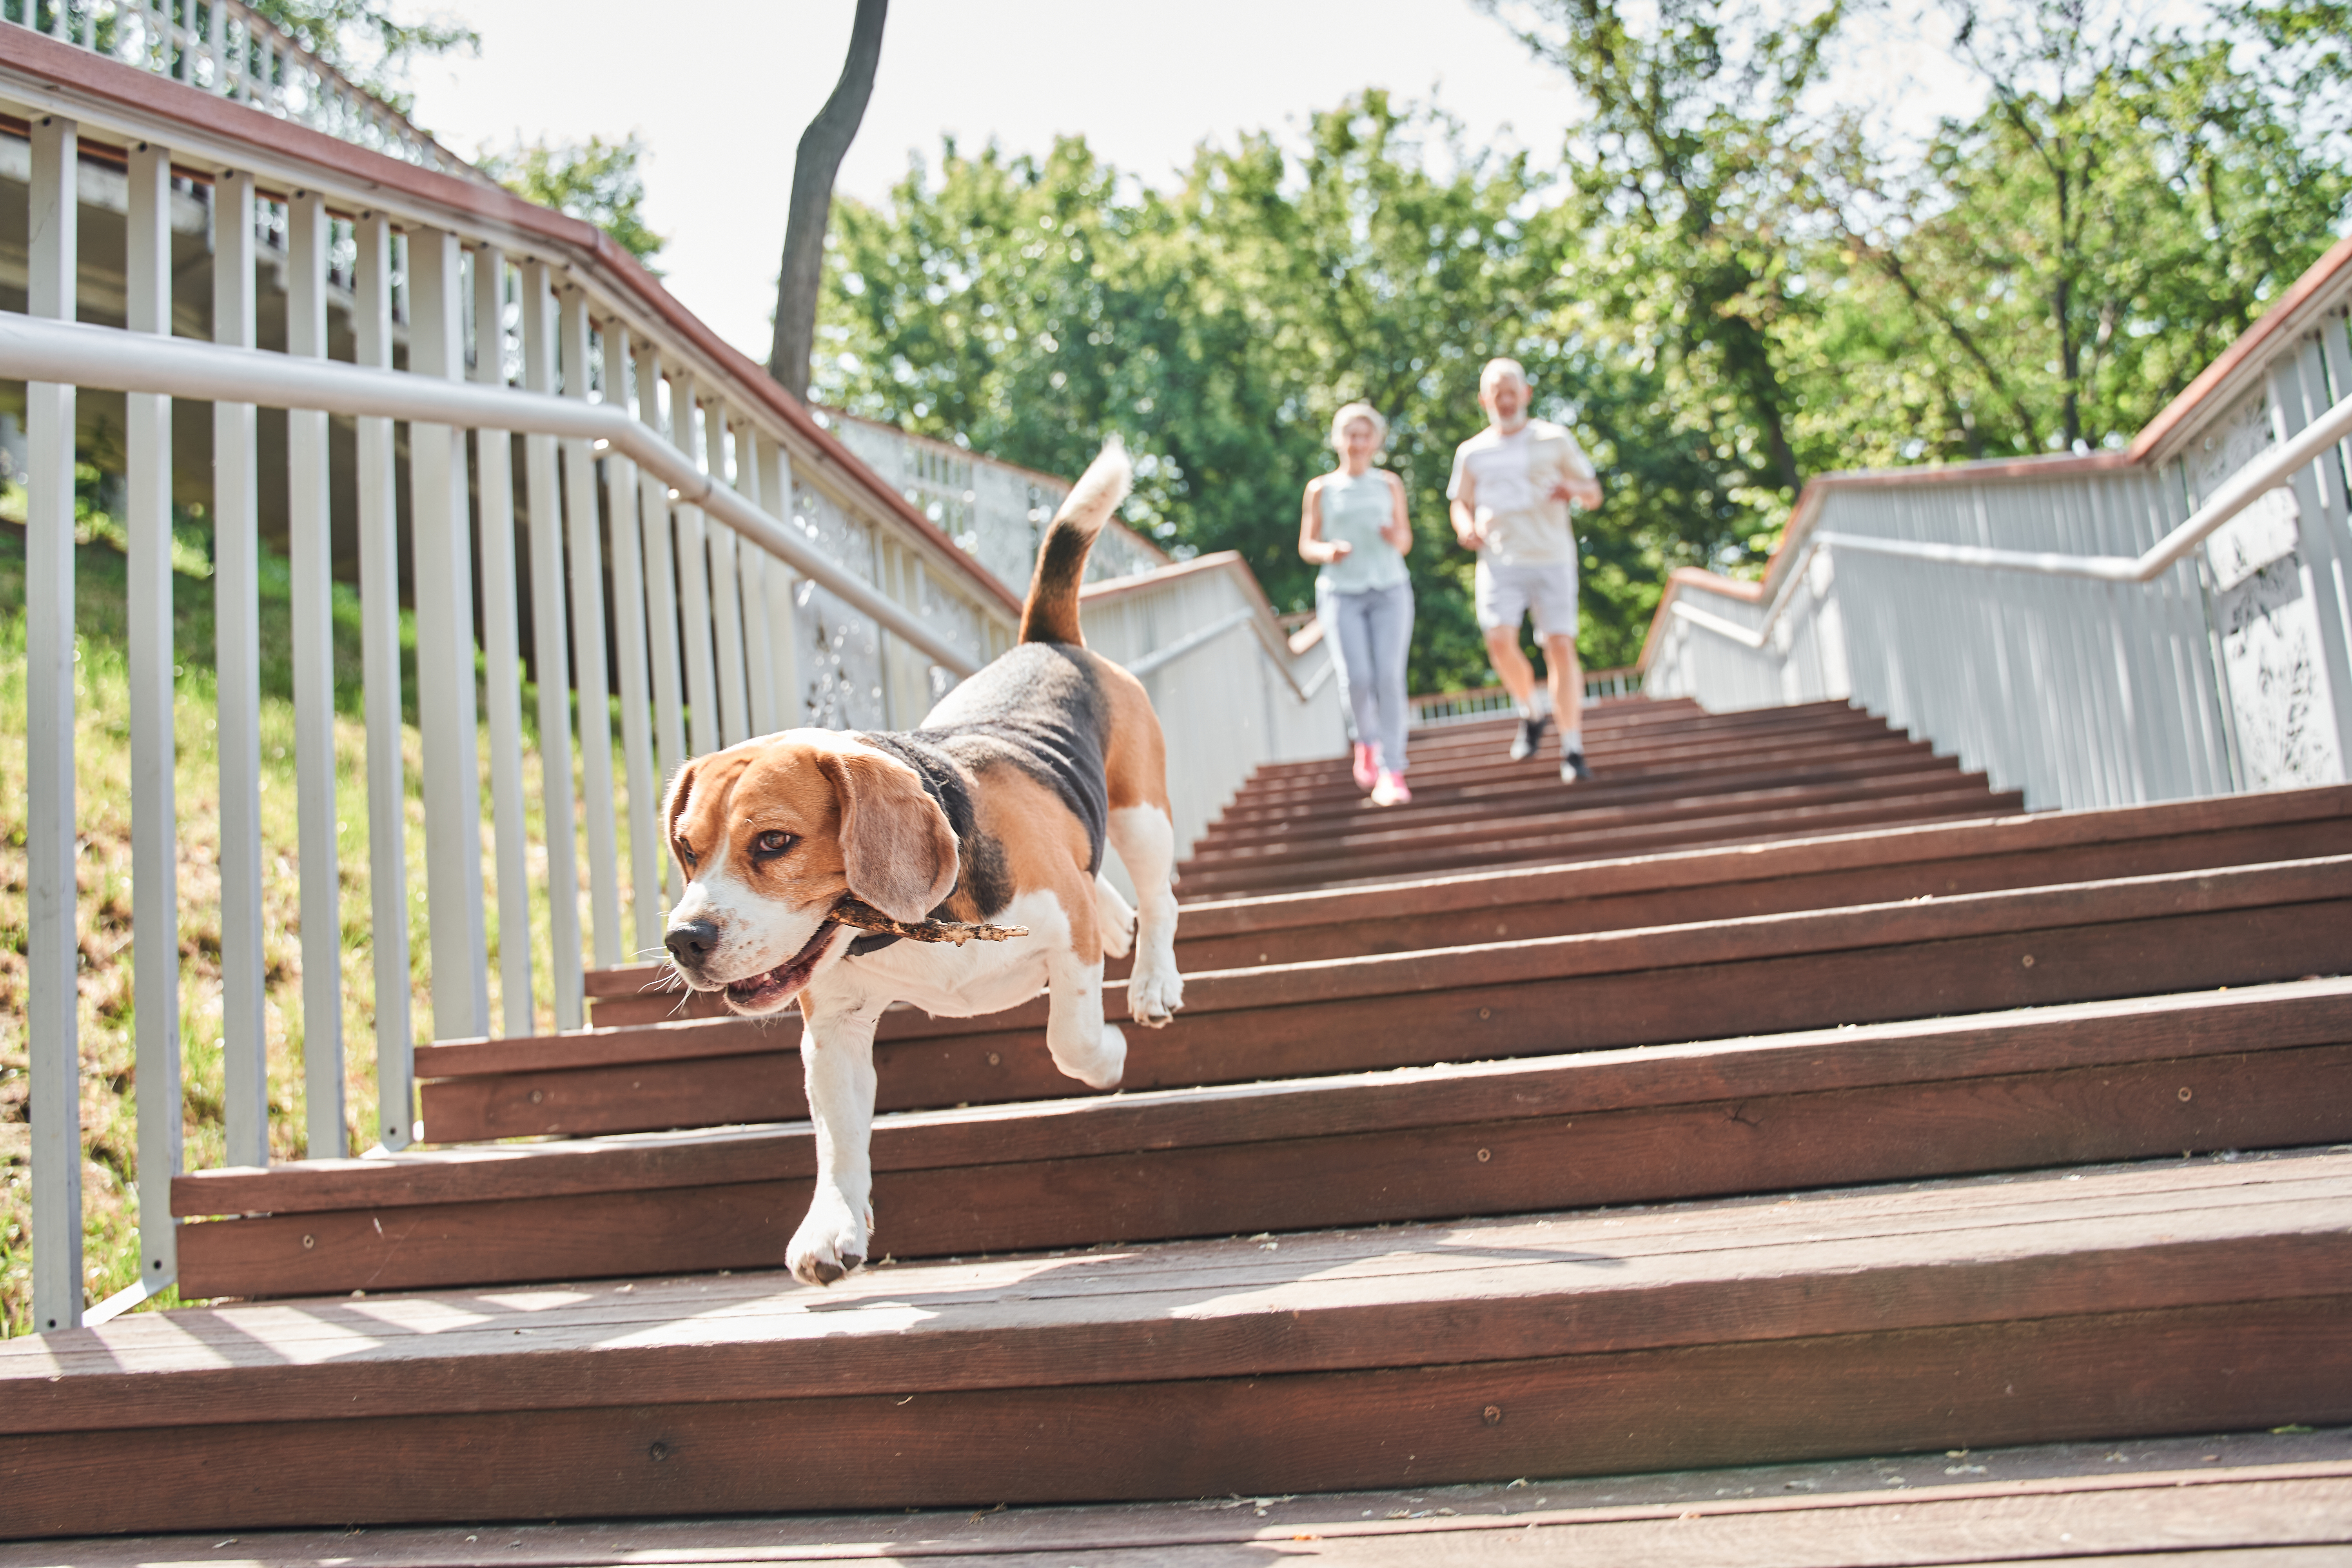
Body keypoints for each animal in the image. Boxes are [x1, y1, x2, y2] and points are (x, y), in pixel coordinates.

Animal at [659, 444, 1176, 1288]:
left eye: (773, 843)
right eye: (687, 850)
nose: (685, 941)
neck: (904, 926)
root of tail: (1047, 641)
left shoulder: (1062, 929)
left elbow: (1069, 1036)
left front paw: (1106, 1059)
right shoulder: (834, 1024)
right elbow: (838, 1134)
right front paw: (832, 1224)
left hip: (1143, 812)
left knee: (1163, 902)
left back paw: (1155, 982)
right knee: (1112, 884)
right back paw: (1120, 923)